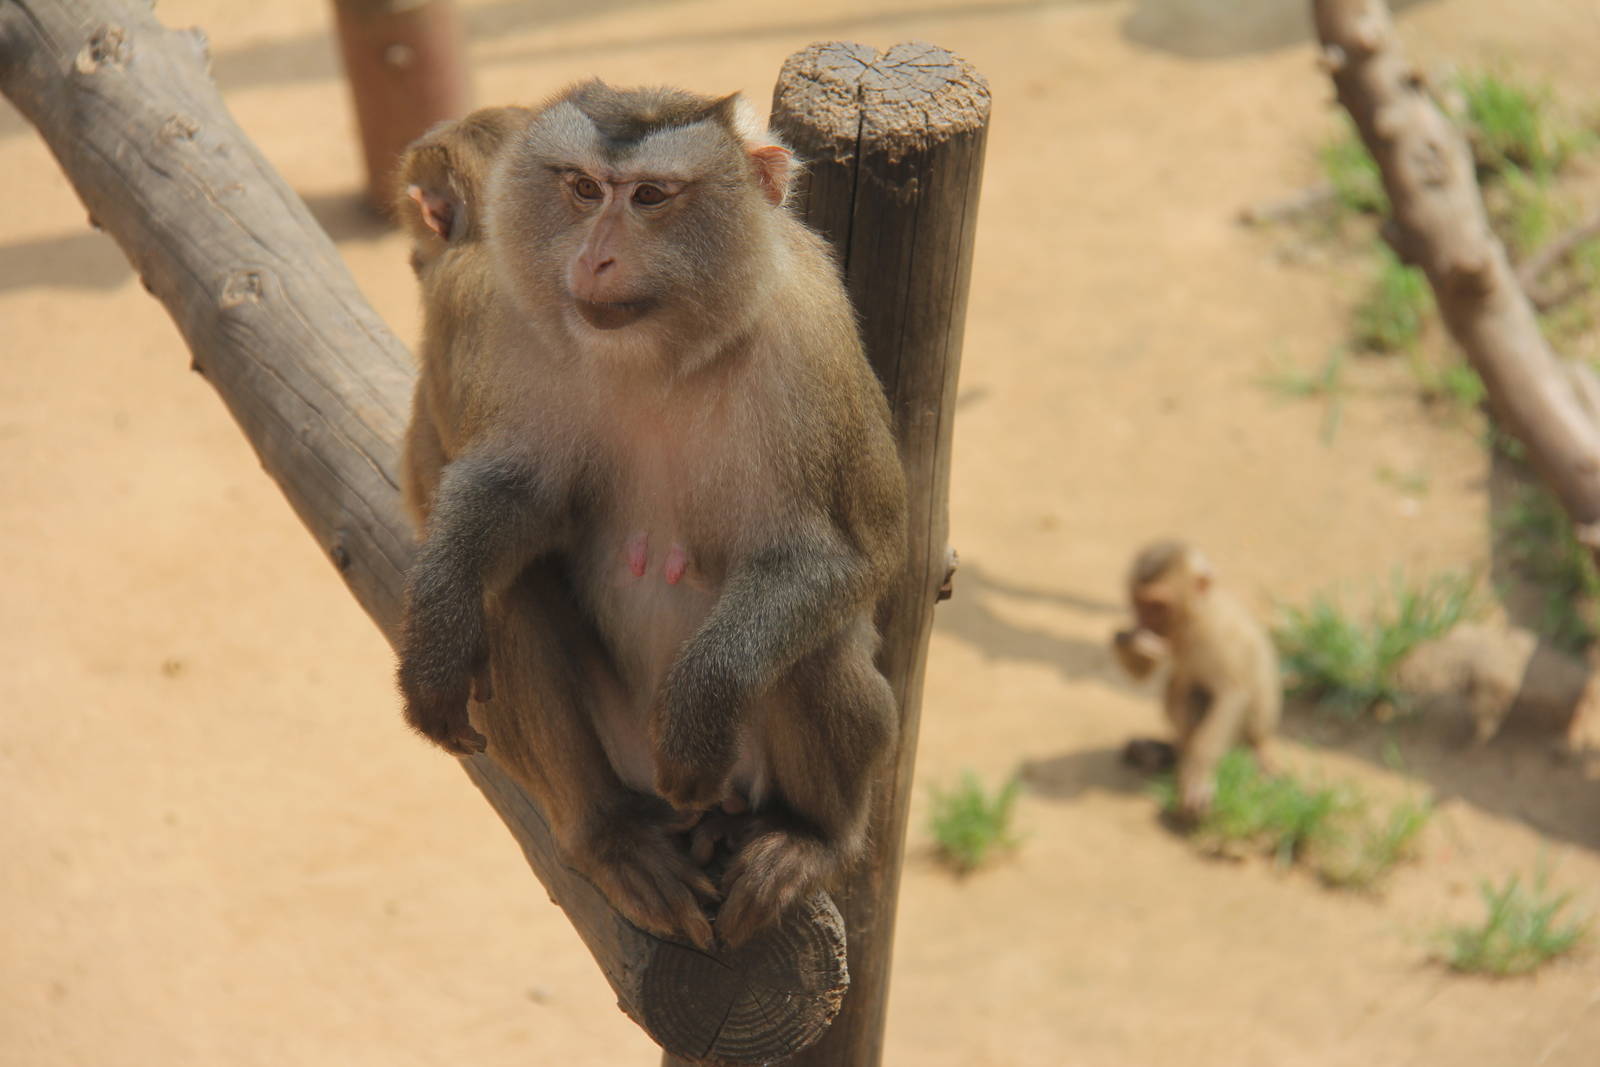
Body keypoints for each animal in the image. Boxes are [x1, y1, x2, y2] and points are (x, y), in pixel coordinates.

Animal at [391, 82, 908, 952]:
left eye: (652, 198)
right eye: (583, 189)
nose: (593, 258)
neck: (664, 352)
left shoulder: (811, 341)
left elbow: (852, 553)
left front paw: (703, 698)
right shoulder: (525, 331)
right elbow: (513, 491)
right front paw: (436, 630)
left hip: (735, 775)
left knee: (814, 643)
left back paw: (813, 837)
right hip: (630, 753)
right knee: (510, 593)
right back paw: (609, 834)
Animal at [1110, 541, 1281, 818]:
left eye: (1157, 606)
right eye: (1139, 602)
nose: (1144, 623)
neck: (1193, 617)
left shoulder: (1218, 633)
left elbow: (1230, 695)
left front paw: (1198, 776)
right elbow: (1144, 672)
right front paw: (1130, 643)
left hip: (1243, 739)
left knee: (1195, 691)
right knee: (1180, 685)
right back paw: (1169, 753)